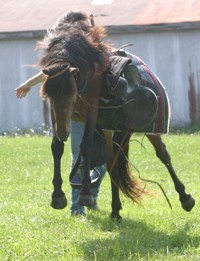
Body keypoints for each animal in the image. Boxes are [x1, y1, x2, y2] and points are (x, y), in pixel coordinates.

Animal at [36, 11, 194, 220]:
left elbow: (86, 147)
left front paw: (85, 194)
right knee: (112, 163)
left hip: (149, 130)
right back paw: (115, 210)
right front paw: (57, 196)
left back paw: (186, 198)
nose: (63, 132)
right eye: (49, 96)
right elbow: (57, 148)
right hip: (109, 130)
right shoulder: (59, 116)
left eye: (70, 93)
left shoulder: (91, 112)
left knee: (163, 155)